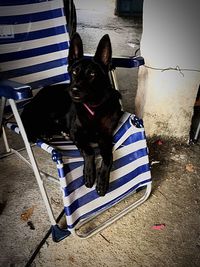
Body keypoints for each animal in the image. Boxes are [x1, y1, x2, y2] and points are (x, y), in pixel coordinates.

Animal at [21, 33, 122, 197]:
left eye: (92, 74)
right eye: (74, 72)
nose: (74, 91)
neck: (94, 107)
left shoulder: (106, 137)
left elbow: (108, 158)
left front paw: (102, 181)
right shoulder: (77, 133)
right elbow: (89, 152)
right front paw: (90, 174)